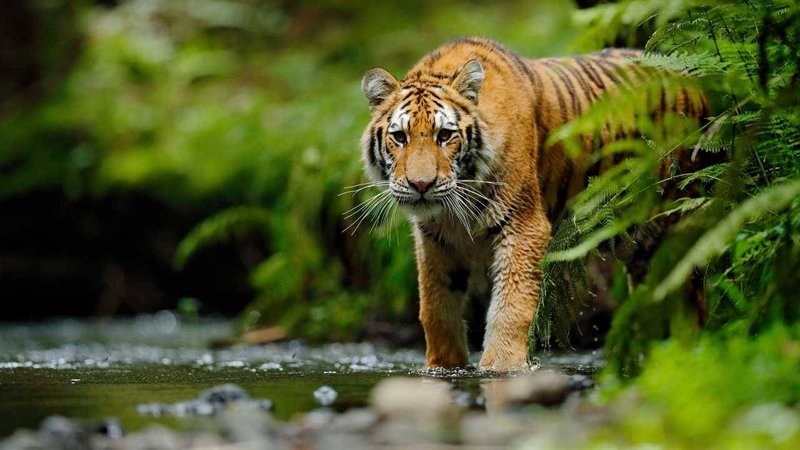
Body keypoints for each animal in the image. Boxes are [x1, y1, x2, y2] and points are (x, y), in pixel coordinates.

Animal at [358, 37, 708, 371]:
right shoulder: (436, 241)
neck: (454, 211)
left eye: (445, 135)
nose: (421, 185)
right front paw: (443, 367)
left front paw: (500, 367)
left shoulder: (523, 226)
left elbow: (510, 307)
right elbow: (436, 309)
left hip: (676, 233)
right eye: (400, 137)